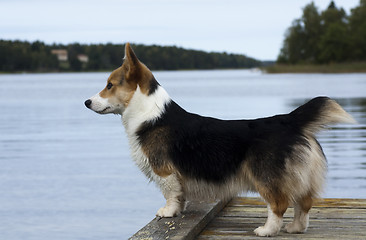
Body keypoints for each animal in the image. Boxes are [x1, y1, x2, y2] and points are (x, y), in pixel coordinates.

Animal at [85, 43, 354, 236]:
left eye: (109, 85)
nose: (87, 102)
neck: (149, 113)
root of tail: (287, 120)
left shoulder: (165, 171)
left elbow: (170, 194)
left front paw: (168, 213)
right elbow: (180, 196)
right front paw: (178, 211)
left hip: (265, 177)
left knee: (279, 204)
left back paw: (266, 230)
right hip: (299, 176)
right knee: (304, 202)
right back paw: (296, 228)